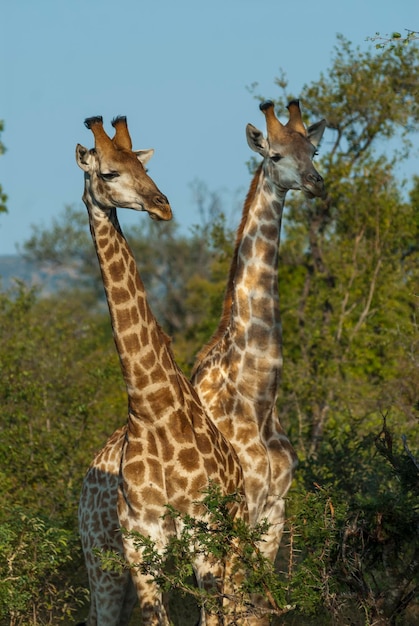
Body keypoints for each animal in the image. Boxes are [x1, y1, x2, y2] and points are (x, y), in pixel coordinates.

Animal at [76, 113, 248, 624]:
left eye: (144, 166)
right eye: (109, 172)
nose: (162, 205)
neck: (150, 410)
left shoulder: (203, 538)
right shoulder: (140, 546)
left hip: (237, 542)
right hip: (100, 562)